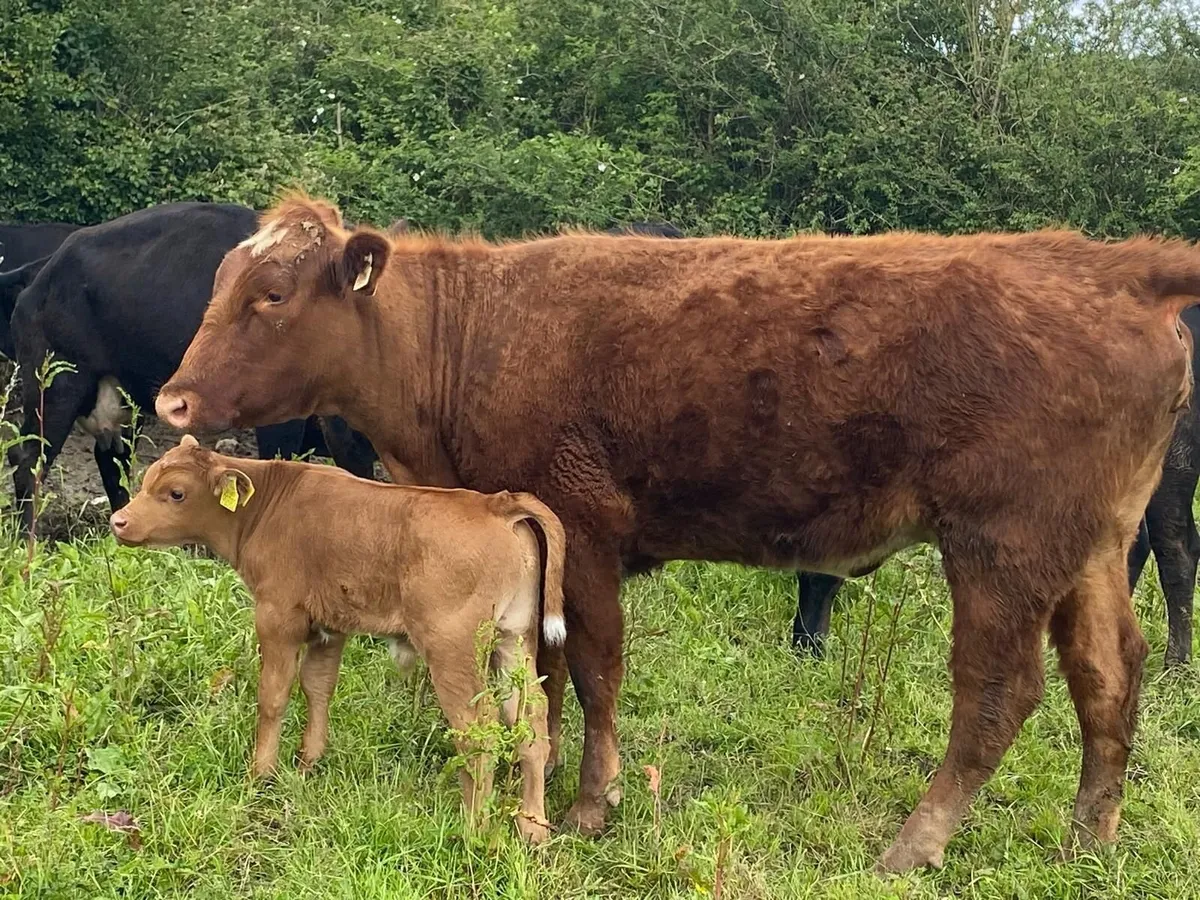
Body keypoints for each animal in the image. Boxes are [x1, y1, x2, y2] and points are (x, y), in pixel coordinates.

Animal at [110, 436, 564, 842]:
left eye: (176, 493)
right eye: (147, 480)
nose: (119, 521)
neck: (268, 506)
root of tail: (495, 503)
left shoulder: (278, 616)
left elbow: (273, 695)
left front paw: (261, 774)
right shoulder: (330, 626)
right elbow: (318, 685)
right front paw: (308, 763)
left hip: (452, 647)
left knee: (478, 728)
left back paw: (474, 830)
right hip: (515, 637)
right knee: (530, 718)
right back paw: (533, 827)